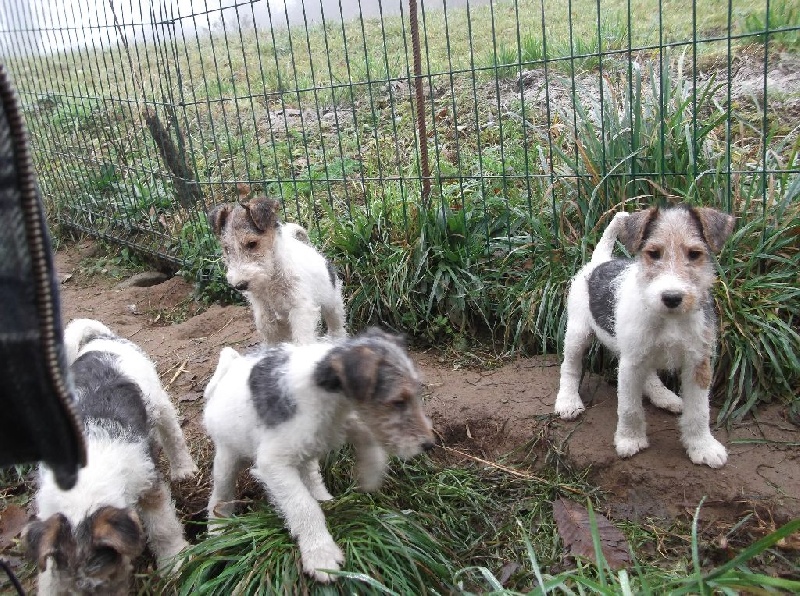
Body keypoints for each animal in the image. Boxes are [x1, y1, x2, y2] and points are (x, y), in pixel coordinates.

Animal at [25, 322, 198, 596]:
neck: (83, 488)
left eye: (107, 579)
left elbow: (163, 528)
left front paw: (175, 562)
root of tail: (101, 339)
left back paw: (184, 469)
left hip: (159, 403)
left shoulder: (149, 485)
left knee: (172, 435)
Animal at [203, 326, 434, 584]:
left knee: (311, 476)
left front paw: (369, 474)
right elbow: (304, 506)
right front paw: (321, 554)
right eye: (398, 401)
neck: (320, 384)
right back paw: (217, 528)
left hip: (305, 451)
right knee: (220, 494)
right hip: (227, 458)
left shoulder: (339, 422)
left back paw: (324, 497)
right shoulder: (274, 463)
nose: (429, 444)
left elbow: (366, 436)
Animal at [208, 192, 346, 344]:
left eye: (252, 243)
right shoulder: (263, 310)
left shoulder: (300, 307)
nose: (240, 285)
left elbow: (302, 338)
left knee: (336, 326)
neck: (270, 277)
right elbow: (269, 330)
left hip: (332, 303)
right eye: (227, 249)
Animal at [552, 207, 736, 468]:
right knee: (570, 367)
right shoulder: (631, 363)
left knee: (650, 376)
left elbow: (699, 411)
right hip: (578, 333)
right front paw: (630, 440)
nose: (672, 297)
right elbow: (630, 408)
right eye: (653, 253)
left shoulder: (698, 363)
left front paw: (703, 447)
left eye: (694, 254)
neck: (669, 319)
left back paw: (664, 397)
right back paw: (568, 401)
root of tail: (600, 261)